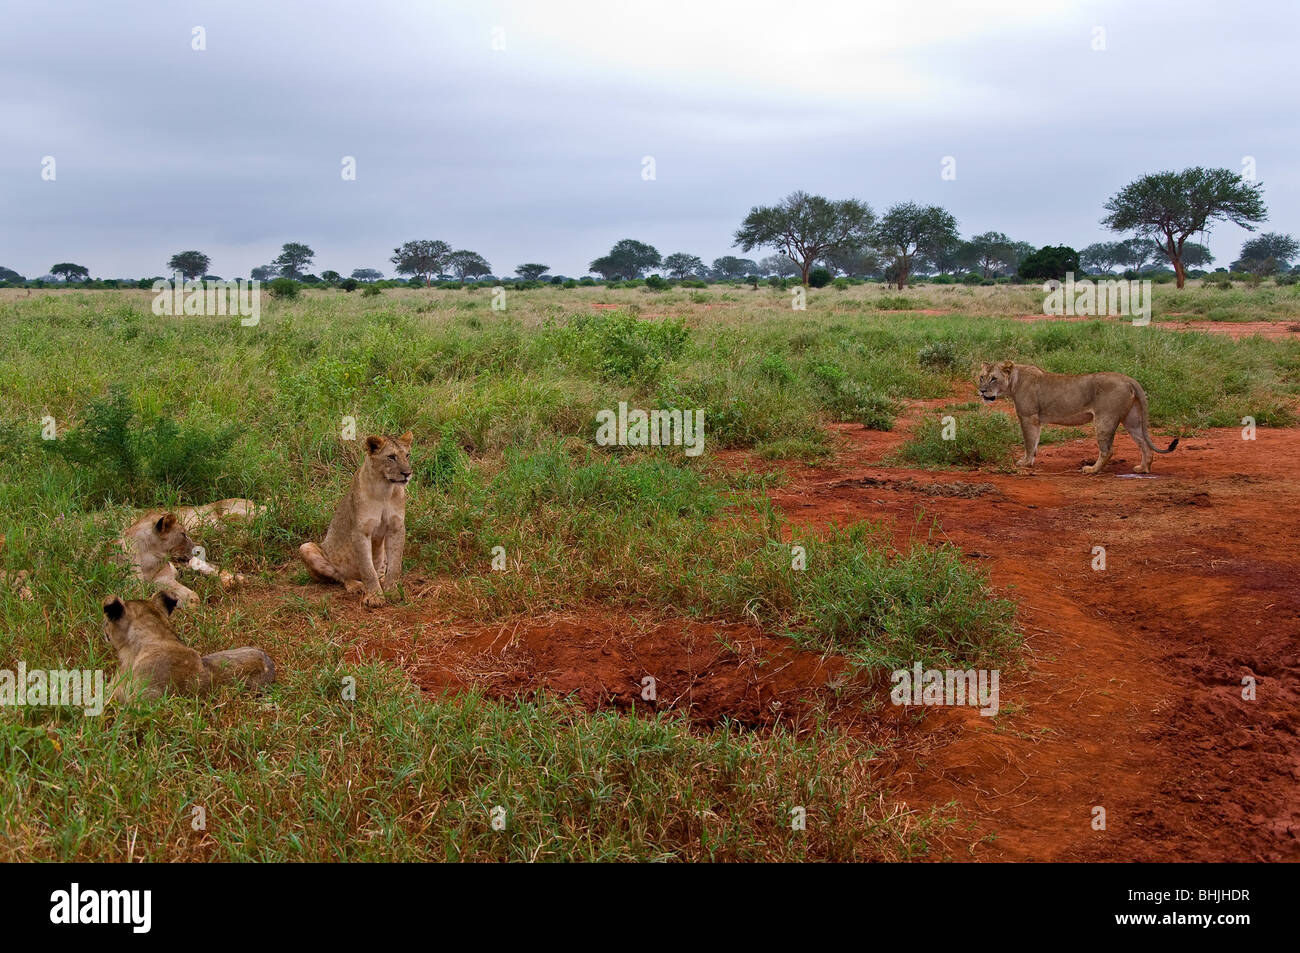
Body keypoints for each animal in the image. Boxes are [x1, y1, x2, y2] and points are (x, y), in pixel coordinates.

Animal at [297, 429, 410, 603]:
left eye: (407, 455)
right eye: (391, 457)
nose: (407, 473)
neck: (385, 489)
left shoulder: (396, 527)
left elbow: (395, 565)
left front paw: (392, 591)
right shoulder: (360, 531)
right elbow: (367, 569)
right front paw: (374, 596)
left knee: (381, 570)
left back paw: (382, 580)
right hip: (307, 547)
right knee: (340, 575)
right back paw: (355, 585)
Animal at [977, 361, 1180, 473]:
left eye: (994, 378)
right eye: (981, 377)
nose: (982, 390)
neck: (1014, 381)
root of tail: (1129, 379)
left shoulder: (1028, 417)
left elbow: (1028, 442)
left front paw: (1024, 463)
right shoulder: (1036, 420)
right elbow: (1034, 444)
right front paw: (1030, 461)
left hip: (1104, 419)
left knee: (1108, 450)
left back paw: (1092, 470)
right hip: (1132, 420)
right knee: (1145, 446)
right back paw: (1143, 469)